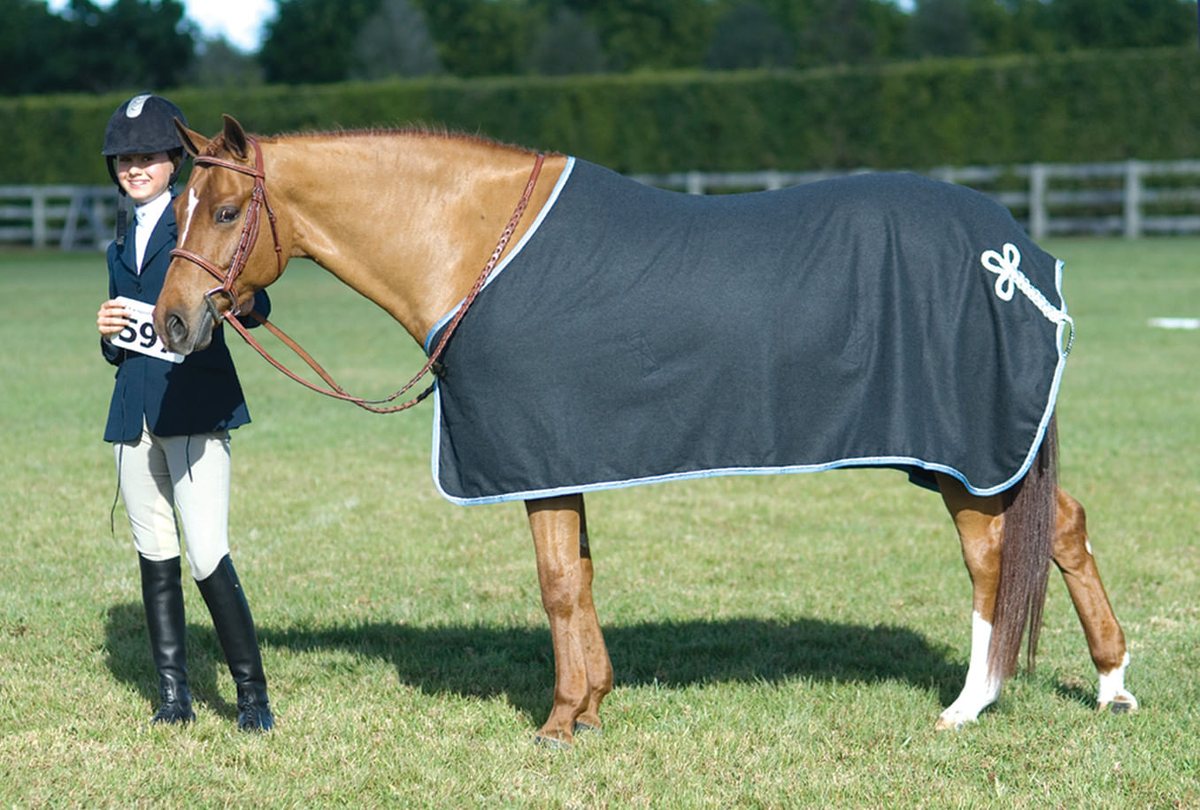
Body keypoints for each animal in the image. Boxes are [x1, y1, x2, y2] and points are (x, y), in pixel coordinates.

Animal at [154, 115, 1137, 746]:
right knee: (1058, 529)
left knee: (995, 556)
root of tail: (1019, 259)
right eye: (177, 208)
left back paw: (973, 705)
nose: (168, 323)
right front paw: (592, 706)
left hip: (962, 452)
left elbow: (556, 586)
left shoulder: (536, 459)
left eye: (227, 212)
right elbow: (582, 579)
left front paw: (558, 724)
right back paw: (1111, 687)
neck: (476, 247)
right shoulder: (562, 461)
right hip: (976, 454)